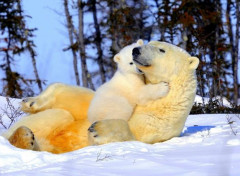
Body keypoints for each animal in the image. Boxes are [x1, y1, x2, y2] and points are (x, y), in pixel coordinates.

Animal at [1, 40, 199, 153]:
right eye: (149, 41)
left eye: (161, 50)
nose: (136, 50)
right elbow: (77, 100)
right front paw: (30, 102)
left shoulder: (160, 121)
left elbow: (135, 134)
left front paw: (99, 129)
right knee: (58, 115)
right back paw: (24, 135)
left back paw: (25, 139)